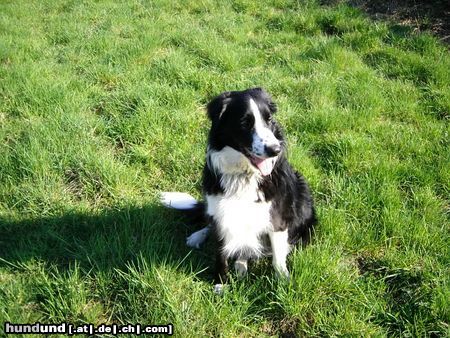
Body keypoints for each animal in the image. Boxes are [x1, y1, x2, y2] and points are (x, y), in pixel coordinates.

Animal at [162, 88, 316, 294]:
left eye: (269, 119)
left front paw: (283, 283)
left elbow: (277, 257)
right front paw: (220, 284)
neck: (244, 175)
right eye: (245, 123)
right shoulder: (221, 211)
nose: (275, 149)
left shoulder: (276, 217)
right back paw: (200, 238)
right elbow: (221, 253)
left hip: (303, 199)